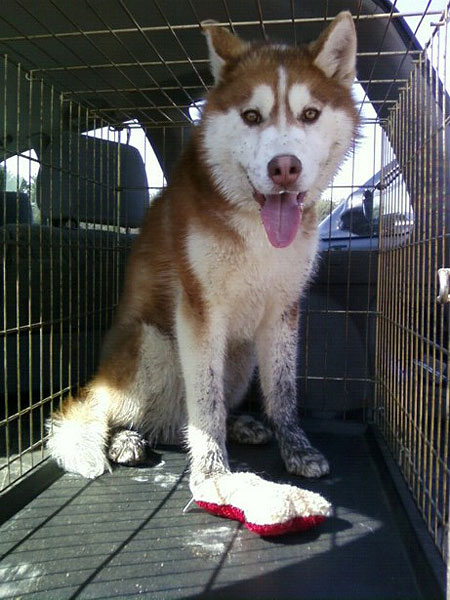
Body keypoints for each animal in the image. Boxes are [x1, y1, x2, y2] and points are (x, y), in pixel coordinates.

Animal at [47, 11, 358, 532]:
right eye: (251, 116)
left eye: (310, 114)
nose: (285, 167)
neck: (257, 233)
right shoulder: (199, 310)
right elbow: (205, 405)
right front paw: (213, 474)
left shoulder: (283, 310)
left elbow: (282, 392)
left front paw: (294, 447)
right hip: (150, 343)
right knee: (127, 414)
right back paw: (127, 438)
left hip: (241, 355)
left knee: (188, 418)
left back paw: (240, 424)